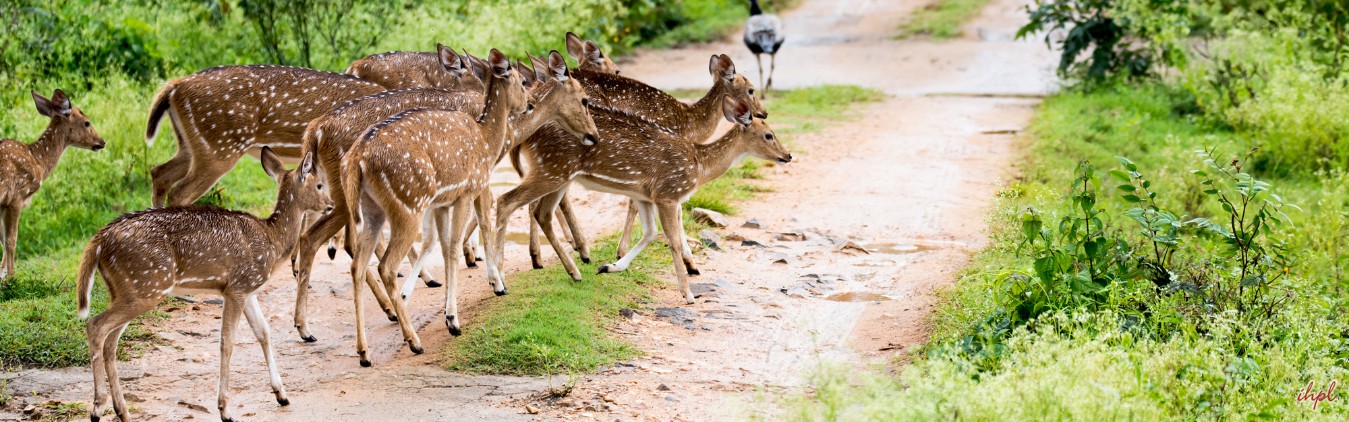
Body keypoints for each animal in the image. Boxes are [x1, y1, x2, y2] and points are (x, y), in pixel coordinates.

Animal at [0, 88, 105, 280]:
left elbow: (3, 240)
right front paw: (11, 278)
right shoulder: (17, 196)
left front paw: (3, 275)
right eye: (87, 122)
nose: (102, 141)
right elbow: (11, 240)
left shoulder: (4, 203)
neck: (37, 160)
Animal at [77, 146, 333, 417]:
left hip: (127, 288)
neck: (272, 242)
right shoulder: (237, 287)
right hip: (145, 285)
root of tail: (99, 241)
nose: (330, 204)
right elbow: (227, 342)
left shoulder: (249, 290)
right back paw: (98, 406)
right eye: (318, 184)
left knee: (110, 341)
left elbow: (263, 332)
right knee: (95, 326)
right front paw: (225, 409)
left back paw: (122, 410)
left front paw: (282, 394)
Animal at [337, 49, 596, 364]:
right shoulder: (471, 187)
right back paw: (412, 339)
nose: (594, 135)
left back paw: (365, 350)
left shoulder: (442, 201)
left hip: (372, 209)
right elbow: (466, 234)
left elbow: (439, 241)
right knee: (383, 264)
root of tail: (356, 160)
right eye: (584, 99)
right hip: (407, 205)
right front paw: (478, 298)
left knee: (357, 264)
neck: (494, 138)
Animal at [496, 96, 787, 302]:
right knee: (505, 201)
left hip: (559, 174)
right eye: (769, 135)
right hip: (552, 169)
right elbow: (672, 241)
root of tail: (525, 138)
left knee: (541, 212)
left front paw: (610, 266)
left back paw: (574, 272)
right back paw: (499, 282)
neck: (699, 166)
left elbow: (650, 233)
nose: (788, 155)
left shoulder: (645, 195)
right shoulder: (668, 193)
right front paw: (688, 294)